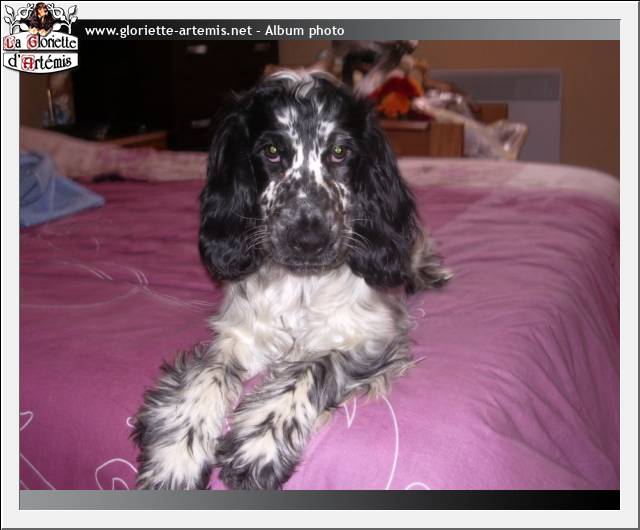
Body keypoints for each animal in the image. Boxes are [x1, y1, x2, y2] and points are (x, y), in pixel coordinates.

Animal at [132, 70, 451, 490]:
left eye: (339, 152)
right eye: (271, 151)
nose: (308, 239)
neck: (301, 286)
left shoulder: (372, 338)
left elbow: (311, 368)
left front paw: (261, 443)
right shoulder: (239, 333)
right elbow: (208, 373)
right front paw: (177, 453)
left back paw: (429, 272)